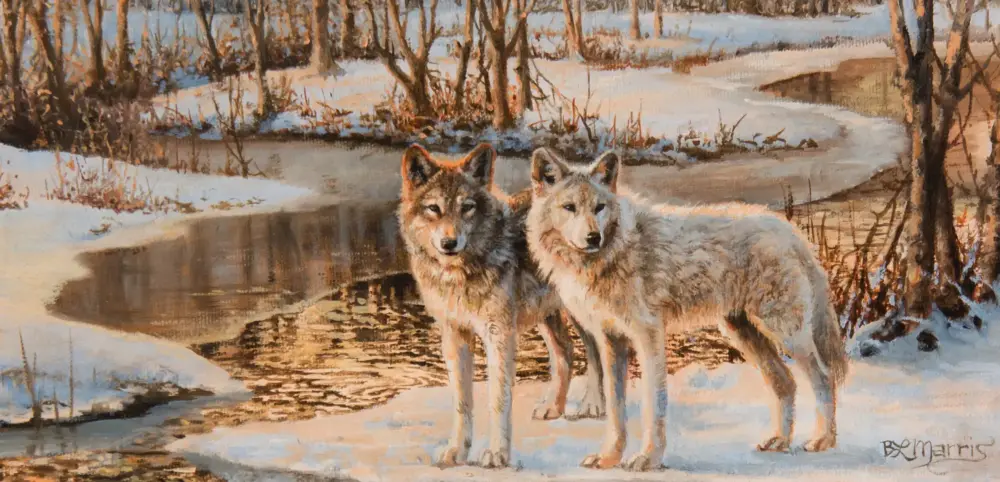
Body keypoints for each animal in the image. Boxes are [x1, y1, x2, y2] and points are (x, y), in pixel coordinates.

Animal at [397, 143, 605, 468]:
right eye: (434, 209)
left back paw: (594, 404)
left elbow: (498, 400)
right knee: (566, 350)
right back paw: (553, 407)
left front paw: (497, 455)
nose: (449, 243)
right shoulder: (454, 335)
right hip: (546, 314)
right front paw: (456, 452)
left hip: (578, 312)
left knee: (595, 352)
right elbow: (462, 401)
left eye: (467, 207)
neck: (461, 272)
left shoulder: (499, 334)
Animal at [525, 147, 849, 471]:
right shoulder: (611, 341)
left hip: (785, 333)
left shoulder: (649, 336)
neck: (613, 253)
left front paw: (647, 459)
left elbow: (653, 405)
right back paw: (779, 441)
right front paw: (608, 458)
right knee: (786, 382)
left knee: (823, 376)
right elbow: (616, 410)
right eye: (569, 207)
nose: (594, 238)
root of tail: (789, 229)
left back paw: (823, 441)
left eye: (599, 207)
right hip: (743, 334)